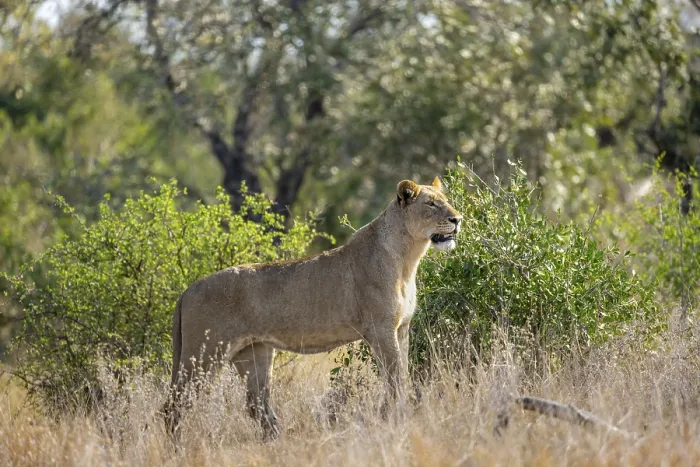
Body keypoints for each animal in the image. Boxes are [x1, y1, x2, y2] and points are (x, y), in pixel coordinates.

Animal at [164, 176, 462, 437]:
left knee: (256, 405)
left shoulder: (402, 328)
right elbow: (395, 380)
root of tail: (188, 290)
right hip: (204, 354)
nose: (457, 219)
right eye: (431, 204)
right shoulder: (380, 329)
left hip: (254, 354)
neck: (407, 258)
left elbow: (402, 373)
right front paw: (394, 419)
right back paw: (177, 450)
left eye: (446, 201)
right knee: (174, 405)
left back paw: (279, 440)